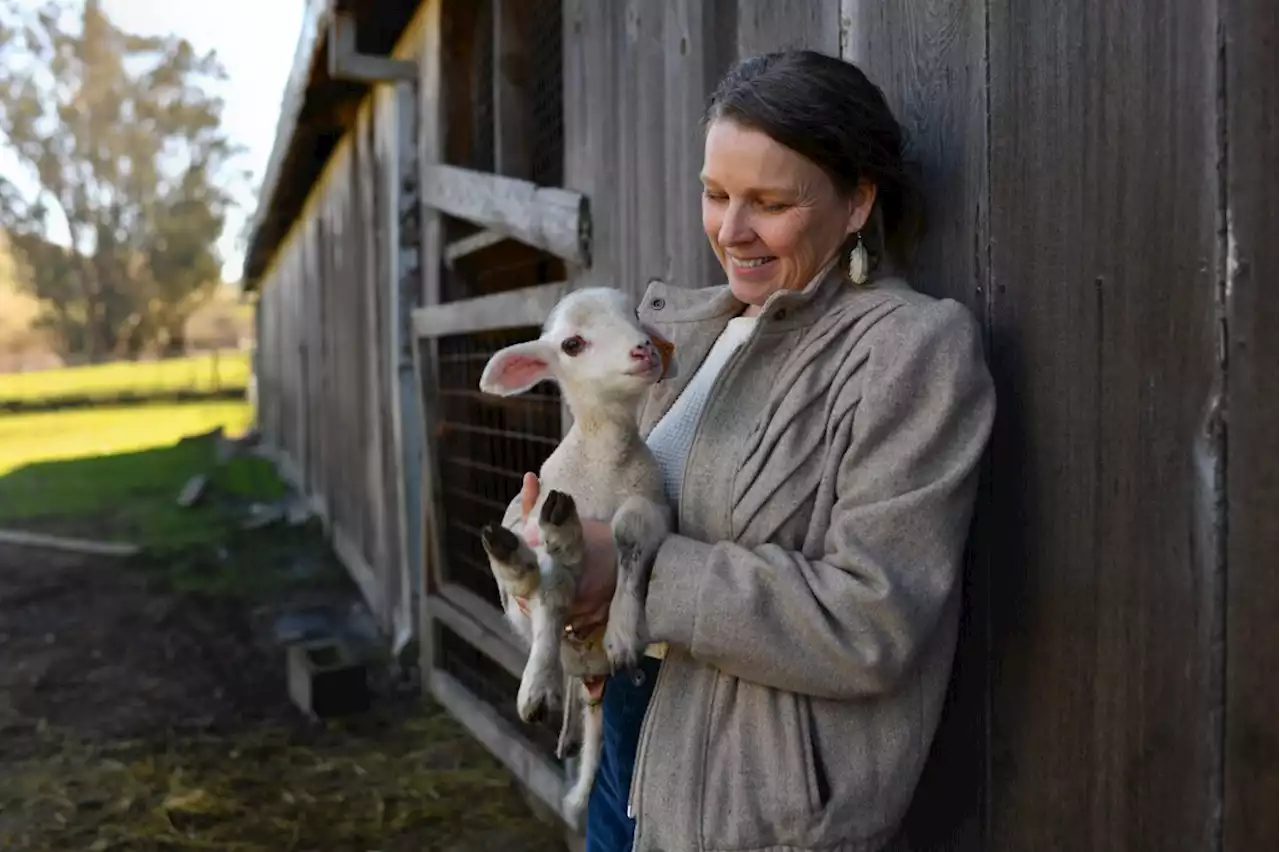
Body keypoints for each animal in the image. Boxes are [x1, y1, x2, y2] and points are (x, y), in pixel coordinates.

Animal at [476, 285, 675, 823]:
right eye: (572, 345)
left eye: (636, 318)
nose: (643, 350)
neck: (605, 460)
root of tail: (590, 678)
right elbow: (552, 595)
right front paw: (535, 686)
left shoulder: (656, 508)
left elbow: (630, 529)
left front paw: (625, 630)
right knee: (542, 582)